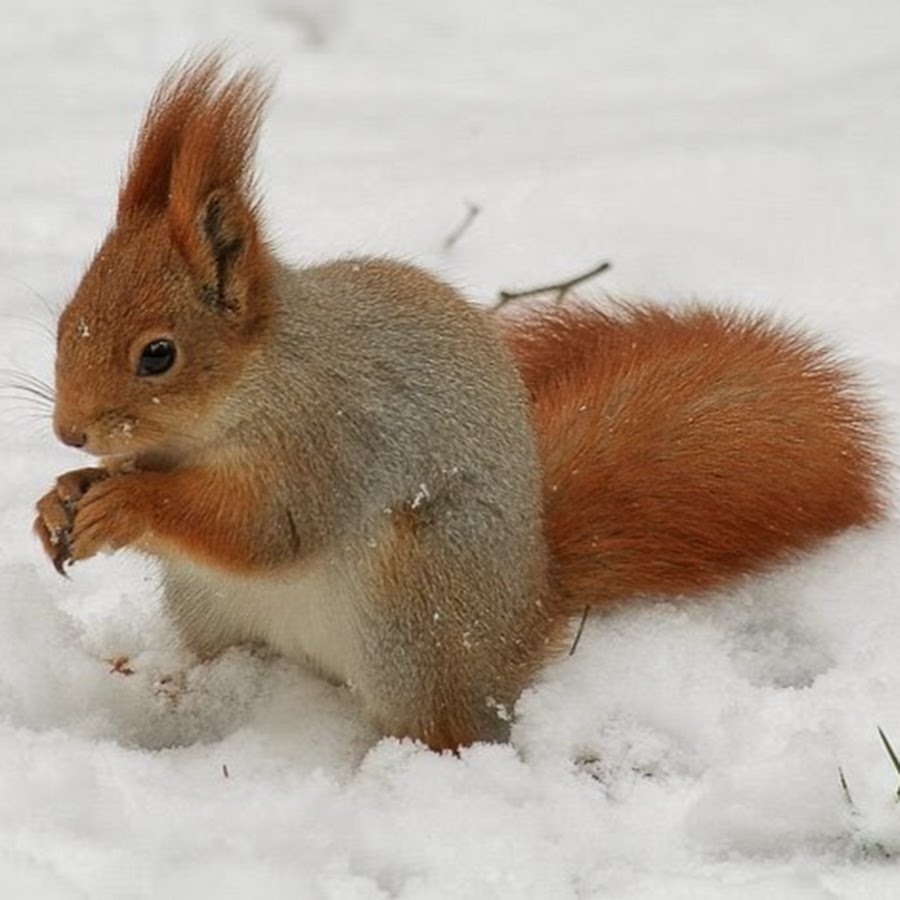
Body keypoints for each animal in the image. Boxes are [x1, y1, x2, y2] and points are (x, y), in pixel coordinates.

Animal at [33, 52, 884, 748]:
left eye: (158, 354)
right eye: (65, 323)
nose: (70, 432)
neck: (248, 391)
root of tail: (525, 615)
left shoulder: (326, 444)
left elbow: (265, 528)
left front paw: (126, 504)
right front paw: (60, 499)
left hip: (416, 614)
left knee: (444, 726)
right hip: (213, 609)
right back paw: (174, 690)